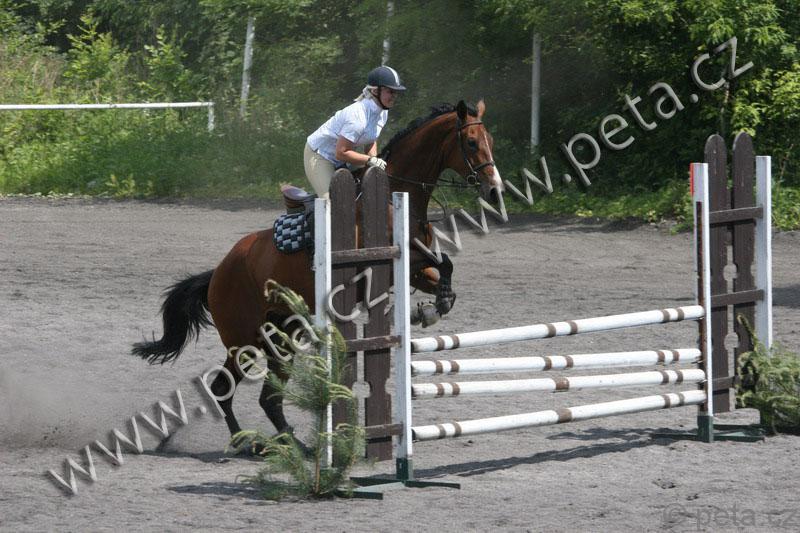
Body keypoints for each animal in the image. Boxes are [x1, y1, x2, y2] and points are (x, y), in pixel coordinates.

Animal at [132, 99, 502, 443]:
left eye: (490, 140)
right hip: (243, 339)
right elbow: (443, 264)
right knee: (224, 388)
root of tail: (217, 272)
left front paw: (433, 308)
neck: (393, 199)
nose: (495, 190)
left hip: (281, 335)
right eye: (471, 142)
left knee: (266, 396)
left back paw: (291, 444)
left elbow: (442, 269)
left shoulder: (414, 267)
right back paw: (245, 442)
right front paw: (431, 308)